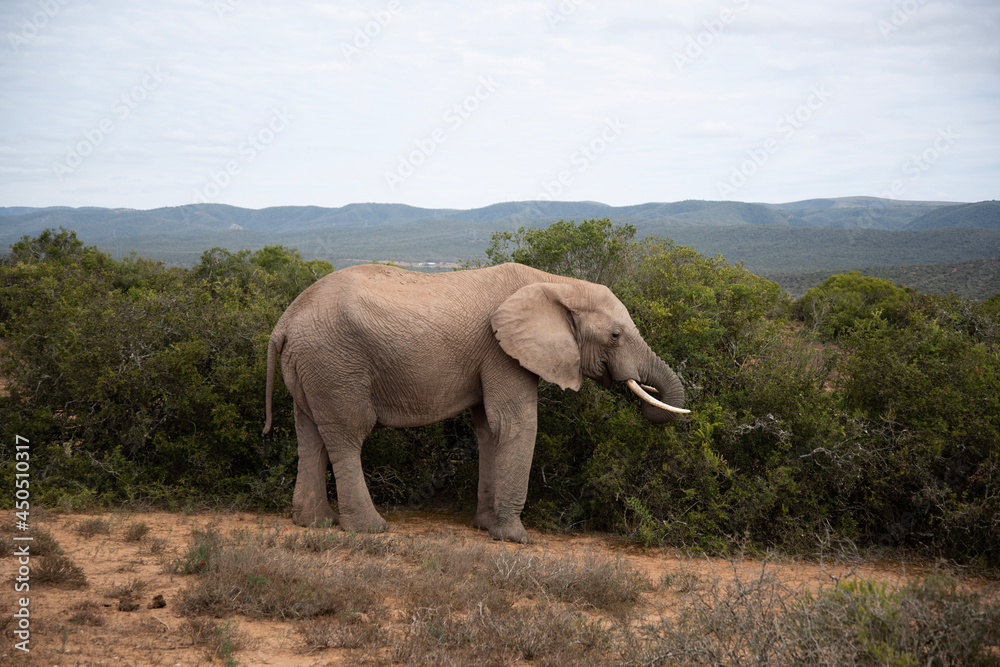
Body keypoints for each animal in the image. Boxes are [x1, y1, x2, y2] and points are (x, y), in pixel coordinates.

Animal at [262, 262, 688, 543]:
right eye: (615, 335)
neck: (556, 284)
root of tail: (284, 321)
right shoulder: (501, 351)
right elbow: (515, 423)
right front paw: (515, 538)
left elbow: (488, 429)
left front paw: (485, 526)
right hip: (335, 362)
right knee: (348, 433)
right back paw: (370, 530)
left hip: (311, 365)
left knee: (309, 433)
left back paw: (313, 523)